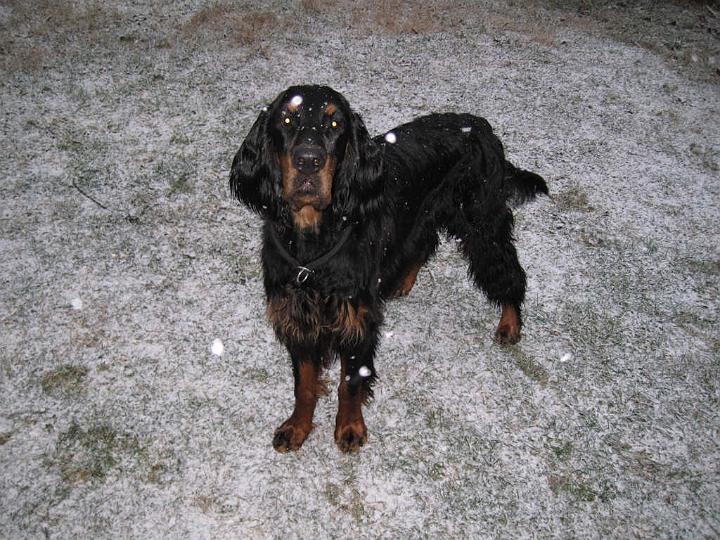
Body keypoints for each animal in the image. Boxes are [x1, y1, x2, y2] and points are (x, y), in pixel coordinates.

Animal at [228, 85, 548, 452]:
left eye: (335, 123)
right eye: (286, 119)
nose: (308, 160)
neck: (312, 242)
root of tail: (480, 125)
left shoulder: (355, 319)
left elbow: (351, 382)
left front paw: (350, 427)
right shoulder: (297, 314)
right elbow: (304, 384)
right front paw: (297, 426)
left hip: (481, 218)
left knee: (507, 270)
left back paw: (510, 322)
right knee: (423, 244)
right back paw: (401, 282)